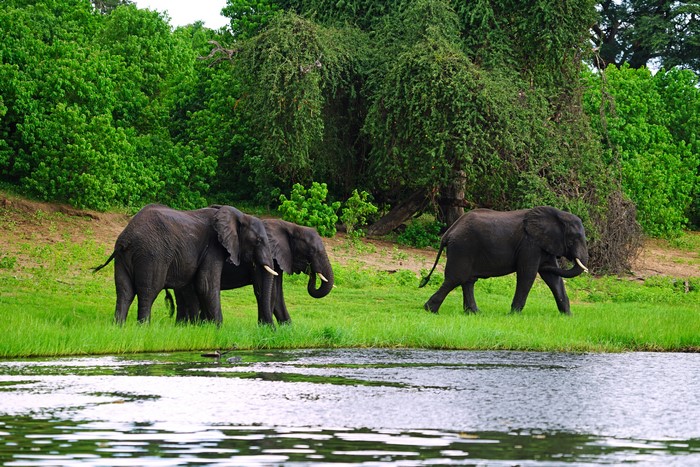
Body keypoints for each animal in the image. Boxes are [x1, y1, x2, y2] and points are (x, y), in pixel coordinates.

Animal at [93, 204, 278, 325]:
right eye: (258, 241)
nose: (269, 328)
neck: (239, 215)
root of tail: (126, 238)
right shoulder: (213, 247)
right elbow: (206, 284)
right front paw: (218, 328)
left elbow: (194, 287)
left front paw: (199, 327)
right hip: (152, 255)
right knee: (148, 291)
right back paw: (143, 327)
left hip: (123, 258)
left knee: (124, 291)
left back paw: (118, 327)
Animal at [171, 218, 334, 325]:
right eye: (312, 251)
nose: (312, 271)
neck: (290, 227)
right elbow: (266, 290)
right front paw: (267, 328)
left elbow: (277, 293)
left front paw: (287, 329)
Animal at [420, 206, 589, 315]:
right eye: (573, 239)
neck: (559, 215)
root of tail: (449, 232)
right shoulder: (530, 245)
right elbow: (527, 274)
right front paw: (514, 315)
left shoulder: (544, 245)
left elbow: (553, 278)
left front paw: (568, 316)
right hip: (462, 247)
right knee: (456, 278)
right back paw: (430, 310)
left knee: (467, 280)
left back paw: (475, 313)